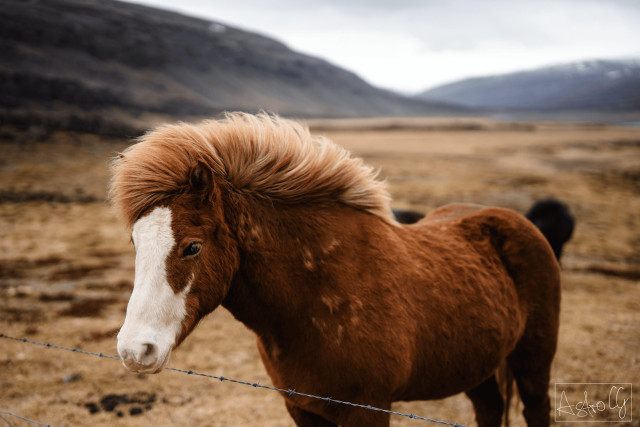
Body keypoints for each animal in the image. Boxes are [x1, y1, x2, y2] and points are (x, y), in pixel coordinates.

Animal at [110, 113, 561, 427]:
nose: (135, 350)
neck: (319, 300)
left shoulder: (369, 409)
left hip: (534, 365)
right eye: (134, 242)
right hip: (478, 366)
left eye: (192, 246)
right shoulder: (302, 408)